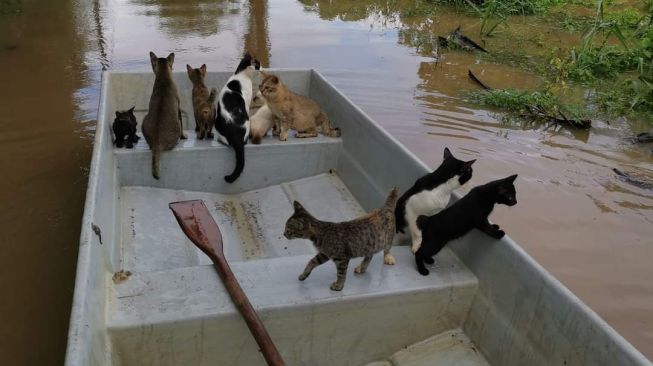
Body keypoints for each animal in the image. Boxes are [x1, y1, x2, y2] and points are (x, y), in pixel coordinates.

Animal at [141, 52, 186, 180]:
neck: (163, 77)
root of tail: (157, 143)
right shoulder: (178, 108)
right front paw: (184, 137)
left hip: (144, 119)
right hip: (176, 125)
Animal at [216, 53, 262, 183]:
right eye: (258, 64)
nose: (263, 67)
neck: (241, 74)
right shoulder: (247, 102)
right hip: (247, 122)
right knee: (244, 142)